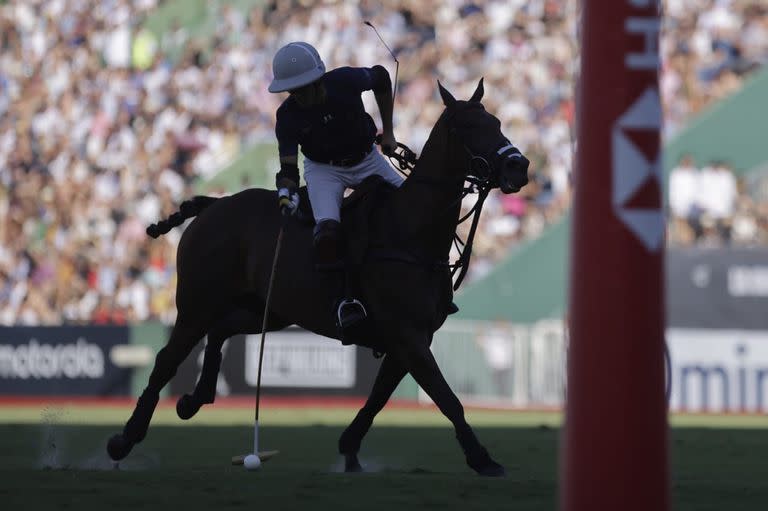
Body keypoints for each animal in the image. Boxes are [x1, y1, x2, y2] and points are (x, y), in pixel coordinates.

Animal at [106, 80, 528, 476]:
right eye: (468, 127)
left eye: (497, 122)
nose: (518, 167)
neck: (411, 233)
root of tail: (214, 204)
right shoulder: (407, 335)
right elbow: (447, 398)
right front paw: (483, 459)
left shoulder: (412, 337)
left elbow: (379, 397)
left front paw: (349, 449)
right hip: (197, 302)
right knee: (167, 359)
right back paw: (124, 439)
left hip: (269, 308)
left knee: (222, 329)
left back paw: (194, 399)